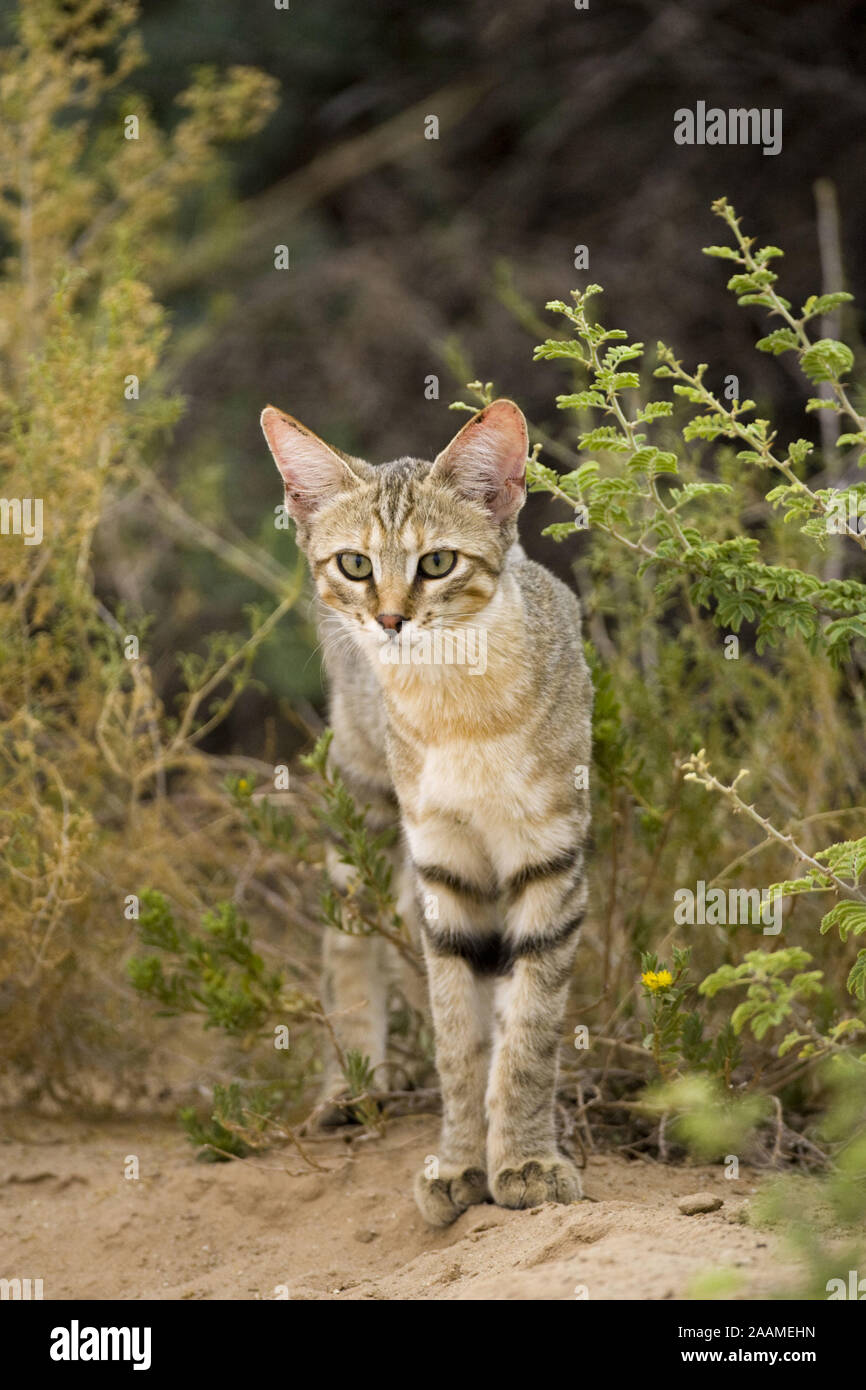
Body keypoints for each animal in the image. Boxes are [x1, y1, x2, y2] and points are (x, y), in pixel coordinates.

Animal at [261, 400, 592, 1228]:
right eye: (355, 565)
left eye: (436, 564)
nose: (388, 620)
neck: (460, 712)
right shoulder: (444, 871)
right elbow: (457, 1040)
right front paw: (461, 1162)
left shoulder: (549, 861)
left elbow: (528, 1033)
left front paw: (525, 1161)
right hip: (364, 802)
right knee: (346, 944)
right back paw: (352, 1085)